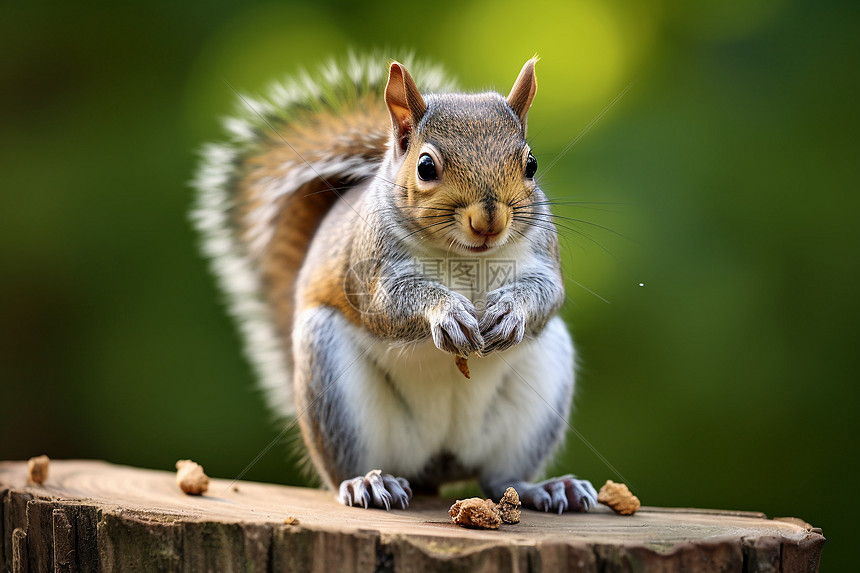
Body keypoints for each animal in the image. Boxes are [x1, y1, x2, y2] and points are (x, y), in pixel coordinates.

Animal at [193, 52, 596, 510]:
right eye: (426, 166)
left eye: (531, 164)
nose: (489, 221)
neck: (465, 258)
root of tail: (439, 464)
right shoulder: (370, 270)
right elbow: (388, 304)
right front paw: (447, 313)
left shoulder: (542, 255)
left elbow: (548, 292)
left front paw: (510, 310)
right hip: (332, 382)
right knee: (348, 467)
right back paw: (367, 483)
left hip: (538, 392)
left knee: (500, 478)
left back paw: (544, 488)